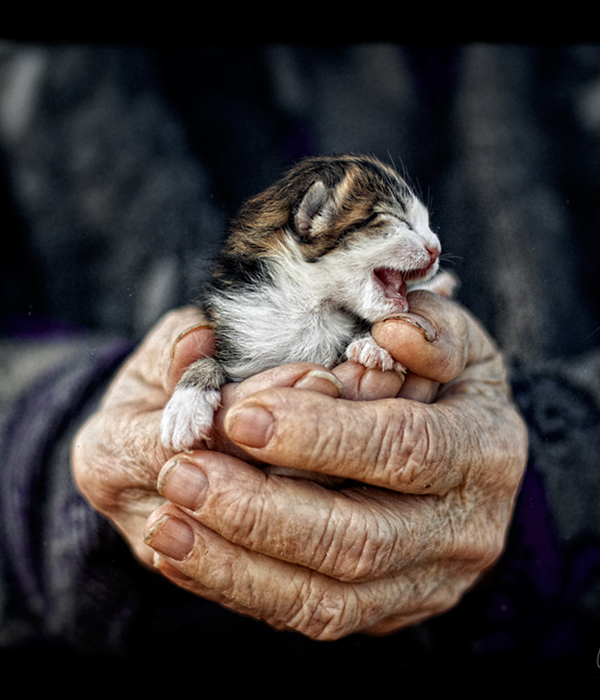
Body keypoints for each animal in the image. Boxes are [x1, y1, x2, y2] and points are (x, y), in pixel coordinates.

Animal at [159, 152, 450, 454]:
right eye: (395, 219)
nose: (436, 249)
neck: (312, 306)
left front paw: (369, 345)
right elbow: (208, 360)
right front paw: (185, 406)